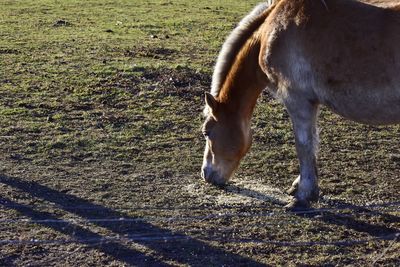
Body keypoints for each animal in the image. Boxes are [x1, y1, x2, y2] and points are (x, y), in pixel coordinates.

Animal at [200, 0, 400, 210]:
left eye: (207, 132)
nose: (206, 174)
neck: (269, 34)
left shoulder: (297, 100)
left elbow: (303, 144)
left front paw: (304, 195)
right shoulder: (311, 103)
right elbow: (312, 142)